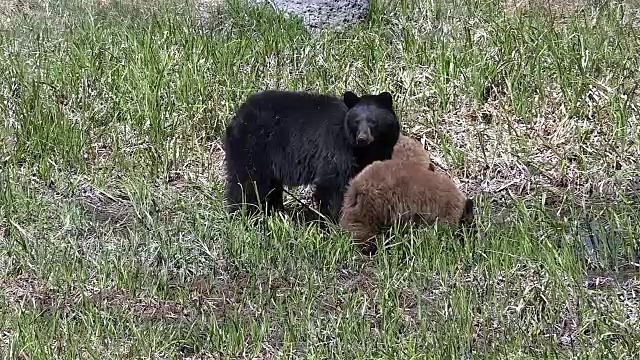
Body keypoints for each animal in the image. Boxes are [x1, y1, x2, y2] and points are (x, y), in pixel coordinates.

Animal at [222, 88, 398, 221]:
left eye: (373, 122)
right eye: (356, 122)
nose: (362, 138)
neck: (364, 150)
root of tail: (237, 118)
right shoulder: (337, 148)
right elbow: (331, 184)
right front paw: (333, 222)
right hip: (253, 148)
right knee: (247, 183)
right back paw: (245, 215)